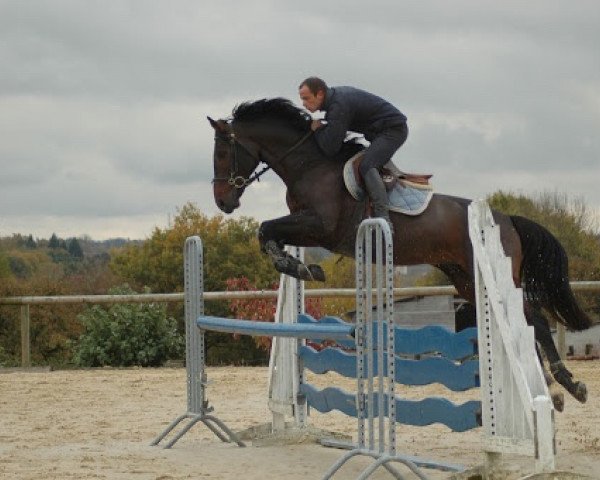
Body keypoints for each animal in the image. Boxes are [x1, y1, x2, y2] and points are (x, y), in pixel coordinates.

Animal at [209, 96, 592, 408]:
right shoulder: (309, 227)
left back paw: (565, 386)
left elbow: (265, 228)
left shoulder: (320, 226)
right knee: (525, 321)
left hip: (495, 276)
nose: (223, 202)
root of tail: (505, 218)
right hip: (465, 279)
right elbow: (267, 233)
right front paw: (298, 266)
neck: (310, 165)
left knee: (534, 319)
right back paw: (552, 388)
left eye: (223, 153)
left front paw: (300, 267)